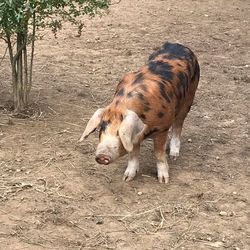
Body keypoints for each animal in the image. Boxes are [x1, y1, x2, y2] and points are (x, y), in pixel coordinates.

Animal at [79, 42, 199, 184]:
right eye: (101, 128)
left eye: (119, 132)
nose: (102, 156)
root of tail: (177, 44)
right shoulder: (134, 136)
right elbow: (133, 154)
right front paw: (126, 178)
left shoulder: (162, 128)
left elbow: (159, 154)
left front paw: (163, 180)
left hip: (189, 98)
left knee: (178, 125)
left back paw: (174, 155)